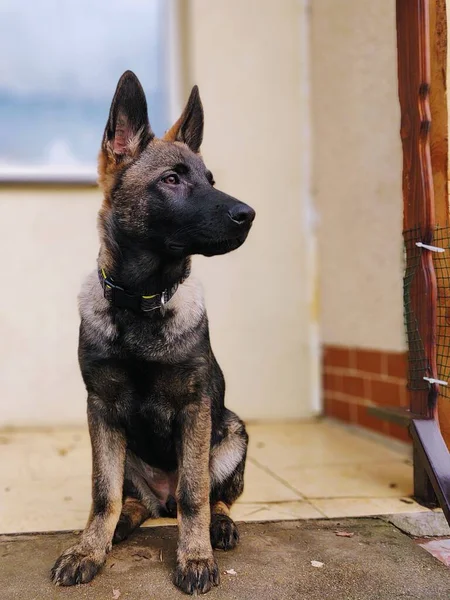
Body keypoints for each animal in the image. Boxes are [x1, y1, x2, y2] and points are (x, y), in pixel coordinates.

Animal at [50, 71, 255, 596]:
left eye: (210, 181)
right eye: (172, 179)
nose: (249, 214)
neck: (141, 301)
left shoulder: (195, 409)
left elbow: (194, 493)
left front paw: (195, 556)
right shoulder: (100, 409)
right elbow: (102, 493)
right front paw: (88, 549)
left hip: (231, 433)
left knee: (207, 496)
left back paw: (219, 526)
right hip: (123, 453)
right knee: (131, 500)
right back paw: (122, 523)